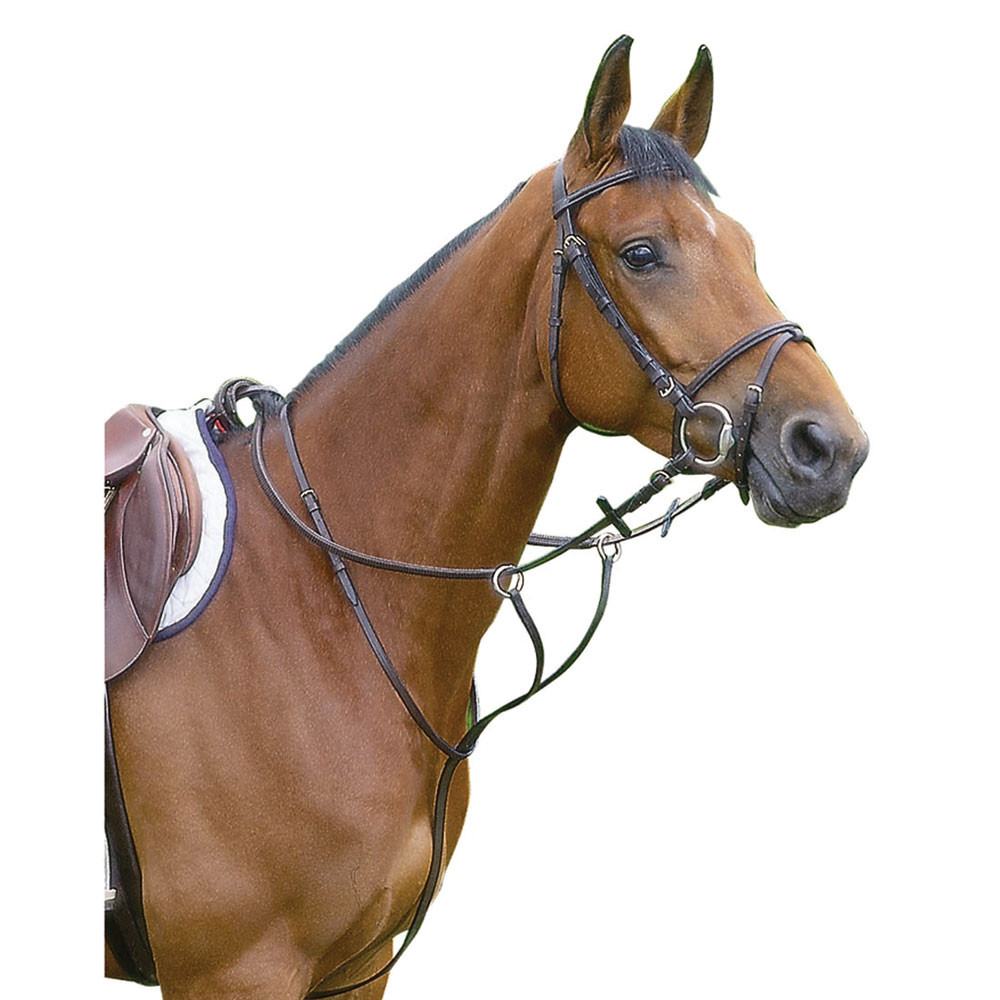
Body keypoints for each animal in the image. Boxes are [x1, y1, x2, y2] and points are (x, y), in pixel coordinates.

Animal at [105, 36, 868, 999]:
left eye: (746, 247)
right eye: (643, 252)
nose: (829, 447)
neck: (316, 603)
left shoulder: (359, 962)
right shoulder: (238, 971)